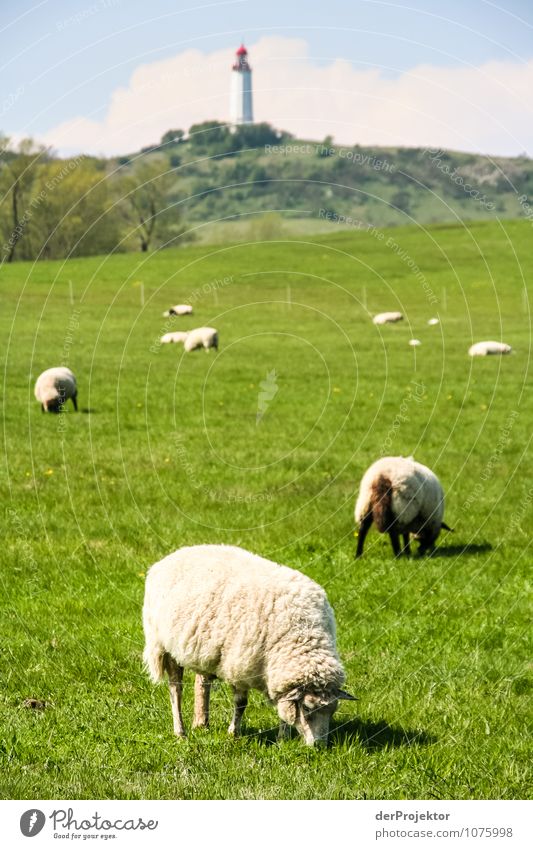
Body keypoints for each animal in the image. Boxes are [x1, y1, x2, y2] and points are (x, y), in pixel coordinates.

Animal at [143, 548, 356, 744]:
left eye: (332, 711)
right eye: (306, 708)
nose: (319, 747)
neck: (302, 634)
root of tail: (172, 555)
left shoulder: (275, 672)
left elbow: (281, 708)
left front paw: (282, 739)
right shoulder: (239, 665)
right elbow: (241, 703)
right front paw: (234, 734)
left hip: (203, 649)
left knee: (202, 682)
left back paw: (201, 723)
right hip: (165, 646)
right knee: (175, 690)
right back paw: (180, 732)